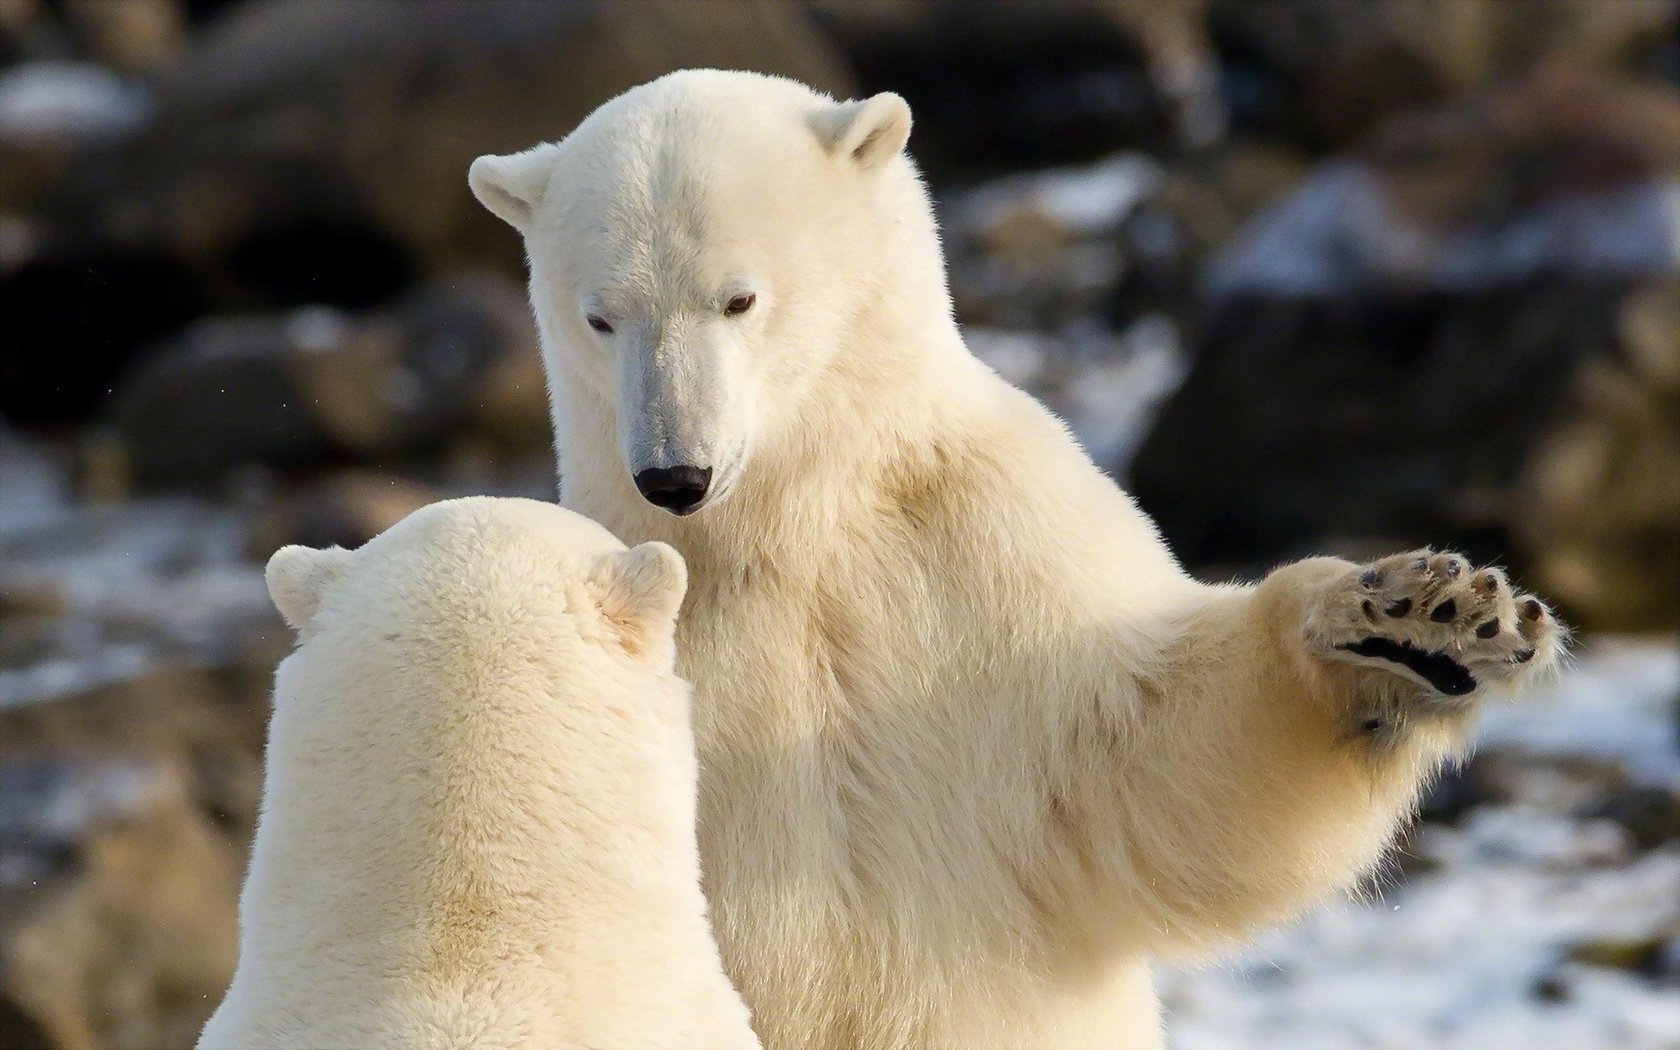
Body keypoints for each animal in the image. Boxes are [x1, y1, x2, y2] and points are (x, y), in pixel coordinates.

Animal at [467, 73, 1565, 1048]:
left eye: (738, 299)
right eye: (599, 316)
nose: (675, 474)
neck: (783, 523)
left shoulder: (989, 544)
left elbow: (1155, 761)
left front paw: (1419, 628)